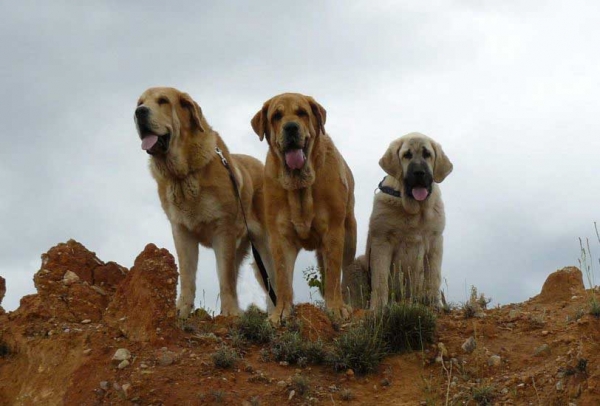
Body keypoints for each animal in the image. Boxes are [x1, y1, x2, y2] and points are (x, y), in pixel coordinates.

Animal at [135, 87, 274, 318]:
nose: (139, 112)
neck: (184, 175)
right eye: (140, 103)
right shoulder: (182, 232)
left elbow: (225, 279)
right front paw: (181, 310)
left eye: (163, 101)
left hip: (266, 245)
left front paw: (230, 314)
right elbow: (187, 276)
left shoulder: (223, 232)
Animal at [252, 92, 356, 324]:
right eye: (277, 116)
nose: (291, 127)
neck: (299, 186)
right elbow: (282, 279)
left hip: (349, 235)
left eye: (302, 113)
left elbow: (333, 275)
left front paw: (336, 308)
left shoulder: (334, 232)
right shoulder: (279, 237)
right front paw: (280, 312)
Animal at [340, 132, 452, 310]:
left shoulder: (435, 242)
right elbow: (380, 280)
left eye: (427, 154)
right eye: (406, 155)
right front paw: (378, 307)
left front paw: (435, 304)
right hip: (356, 264)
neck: (414, 210)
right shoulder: (382, 242)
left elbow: (433, 277)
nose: (419, 172)